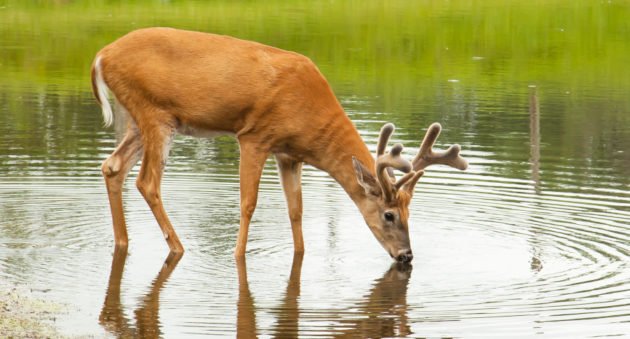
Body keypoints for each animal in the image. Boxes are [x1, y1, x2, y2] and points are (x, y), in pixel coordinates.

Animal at [92, 27, 470, 264]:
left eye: (410, 213)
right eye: (389, 215)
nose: (406, 256)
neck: (310, 112)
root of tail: (101, 56)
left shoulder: (289, 154)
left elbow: (296, 210)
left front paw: (300, 254)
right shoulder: (254, 136)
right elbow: (248, 203)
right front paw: (238, 255)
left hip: (139, 120)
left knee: (112, 166)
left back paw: (123, 242)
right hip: (155, 114)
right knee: (147, 182)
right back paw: (177, 248)